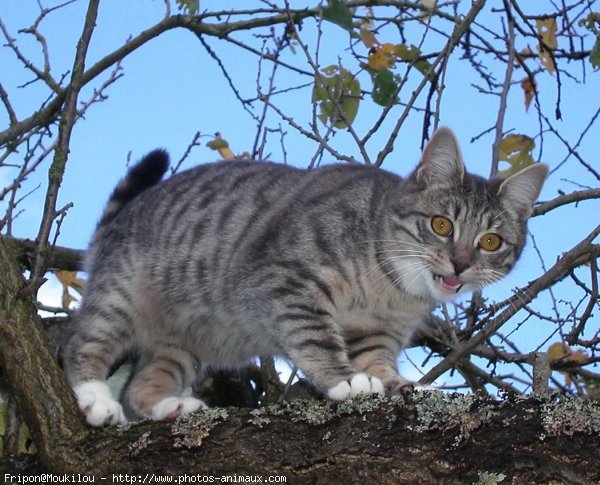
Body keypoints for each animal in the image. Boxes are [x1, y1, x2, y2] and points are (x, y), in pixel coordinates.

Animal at [62, 127, 548, 424]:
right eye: (442, 225)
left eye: (491, 242)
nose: (460, 264)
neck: (389, 288)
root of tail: (119, 222)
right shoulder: (283, 280)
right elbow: (316, 336)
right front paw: (345, 379)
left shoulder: (375, 331)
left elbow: (376, 359)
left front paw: (394, 383)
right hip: (120, 296)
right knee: (83, 344)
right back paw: (94, 395)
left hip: (182, 342)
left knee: (142, 386)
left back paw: (168, 406)